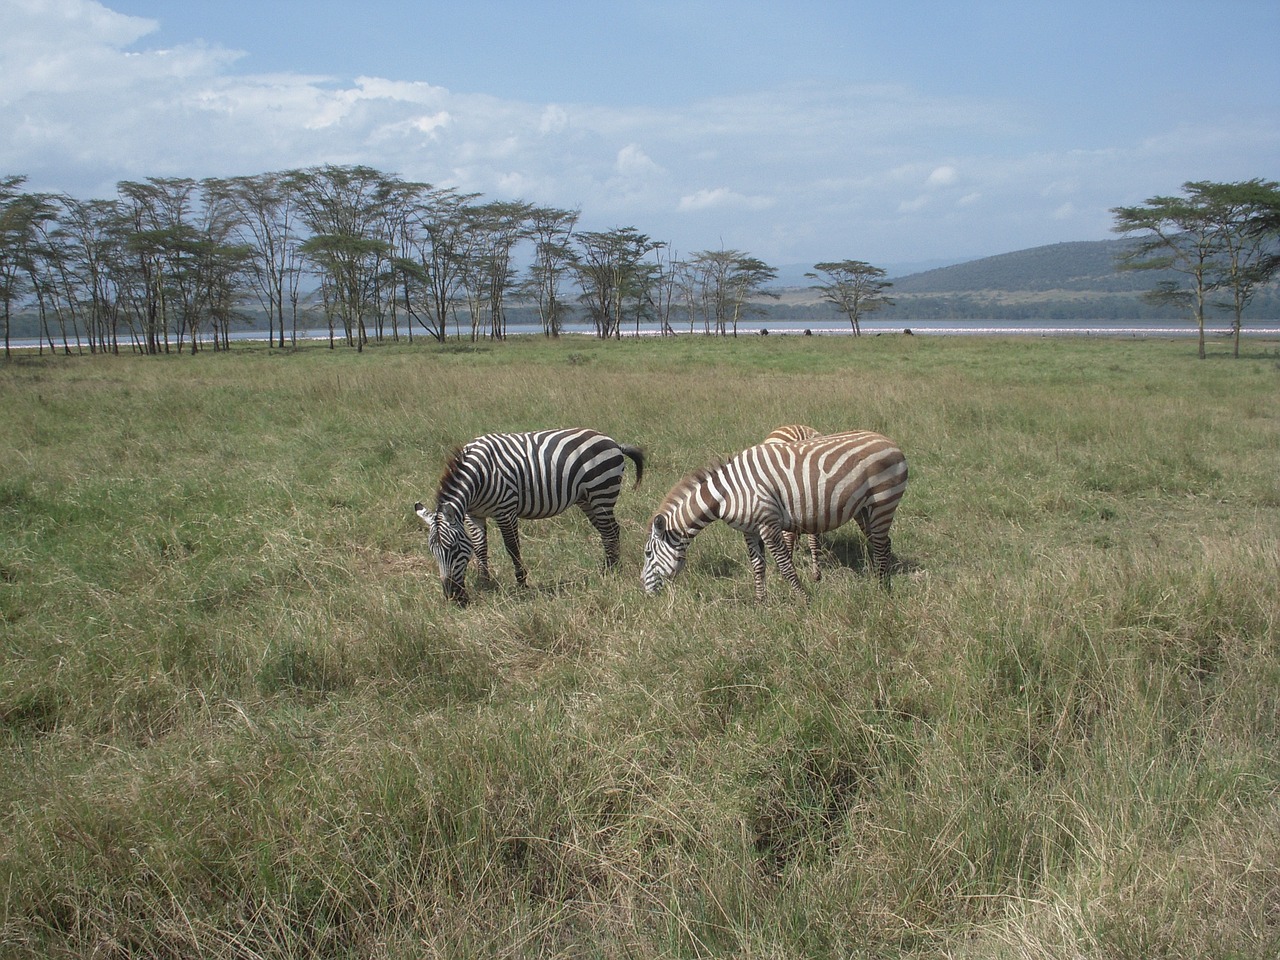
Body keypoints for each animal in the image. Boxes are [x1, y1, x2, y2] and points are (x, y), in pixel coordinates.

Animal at [414, 430, 645, 604]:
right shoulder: (474, 515)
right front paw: (484, 582)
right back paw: (609, 567)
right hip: (587, 498)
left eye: (453, 548)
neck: (478, 476)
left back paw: (612, 571)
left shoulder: (505, 509)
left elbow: (512, 546)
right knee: (609, 530)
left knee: (609, 530)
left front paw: (521, 582)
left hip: (602, 491)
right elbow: (480, 547)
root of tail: (612, 442)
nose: (452, 597)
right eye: (432, 551)